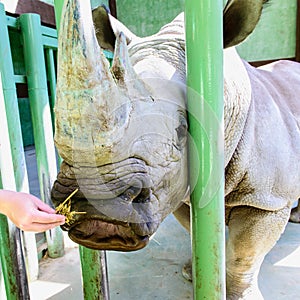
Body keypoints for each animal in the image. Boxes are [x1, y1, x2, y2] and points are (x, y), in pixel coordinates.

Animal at [51, 0, 300, 298]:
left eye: (183, 130)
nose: (94, 206)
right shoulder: (179, 189)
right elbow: (193, 228)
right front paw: (192, 273)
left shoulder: (267, 199)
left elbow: (244, 253)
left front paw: (239, 294)